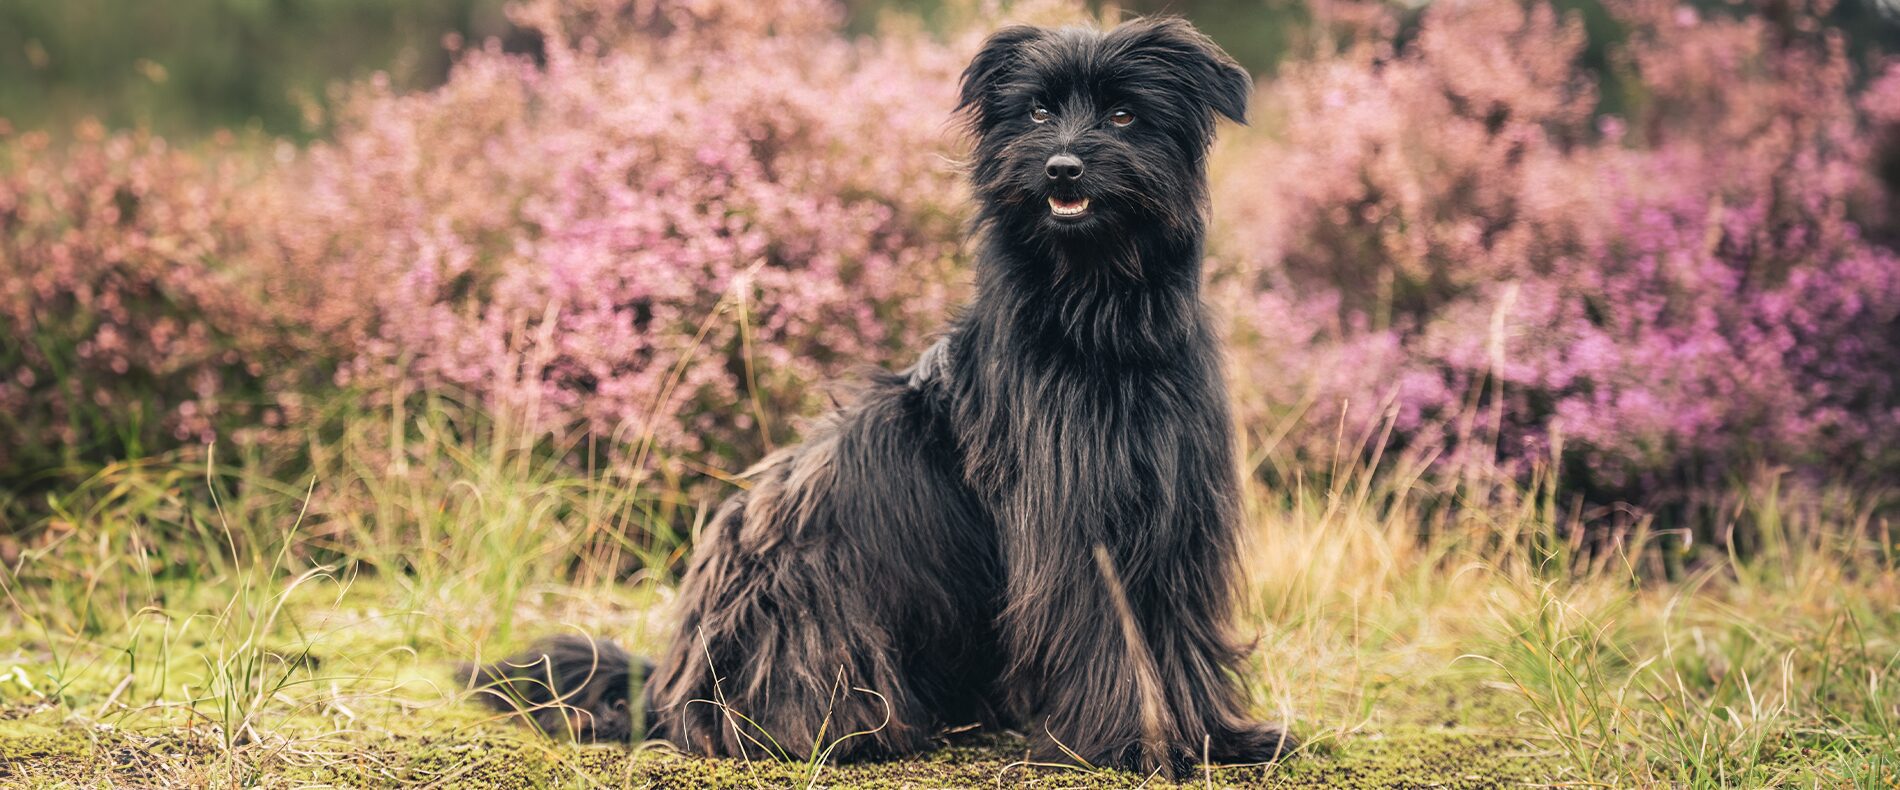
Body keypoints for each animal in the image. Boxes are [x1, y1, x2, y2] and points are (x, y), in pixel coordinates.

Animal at [469, 18, 1299, 778]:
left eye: (1125, 114)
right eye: (1036, 112)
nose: (1062, 168)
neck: (1098, 317)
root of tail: (668, 685)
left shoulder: (1175, 514)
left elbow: (1177, 635)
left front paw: (1217, 739)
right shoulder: (1074, 529)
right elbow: (1109, 638)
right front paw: (1134, 745)